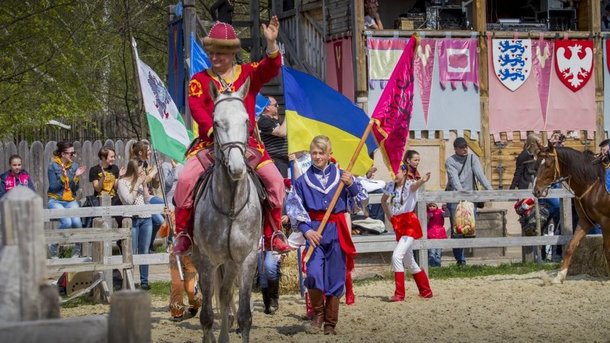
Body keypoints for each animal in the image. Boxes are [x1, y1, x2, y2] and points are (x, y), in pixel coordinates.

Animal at [194, 78, 262, 343]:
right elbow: (205, 317)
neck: (231, 205)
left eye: (246, 121)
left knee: (224, 294)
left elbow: (245, 317)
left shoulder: (247, 259)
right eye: (216, 123)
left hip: (231, 263)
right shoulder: (206, 260)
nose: (236, 167)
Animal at [532, 144, 608, 284]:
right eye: (536, 165)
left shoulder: (605, 222)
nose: (536, 191)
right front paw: (560, 276)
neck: (595, 185)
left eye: (548, 165)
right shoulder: (585, 221)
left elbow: (607, 249)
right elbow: (570, 246)